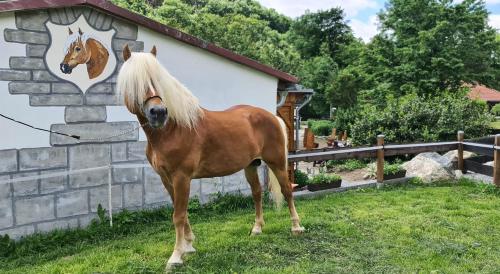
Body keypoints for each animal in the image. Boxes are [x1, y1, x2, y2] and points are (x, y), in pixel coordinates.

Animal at [117, 45, 304, 270]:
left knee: (287, 191)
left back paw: (296, 227)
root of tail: (273, 117)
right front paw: (188, 246)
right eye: (135, 83)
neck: (173, 130)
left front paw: (176, 256)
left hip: (277, 163)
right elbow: (181, 212)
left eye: (158, 80)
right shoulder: (167, 179)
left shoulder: (181, 177)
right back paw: (257, 229)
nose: (159, 113)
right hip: (251, 165)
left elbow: (178, 216)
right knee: (257, 193)